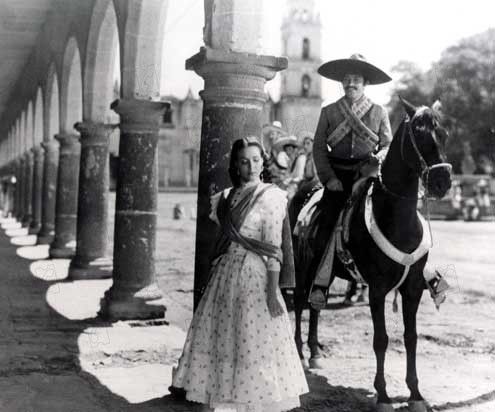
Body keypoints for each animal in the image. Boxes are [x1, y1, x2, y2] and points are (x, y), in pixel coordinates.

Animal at [294, 100, 454, 412]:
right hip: (303, 267)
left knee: (315, 306)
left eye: (443, 134)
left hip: (322, 273)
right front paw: (382, 395)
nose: (443, 181)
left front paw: (415, 393)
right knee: (297, 303)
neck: (396, 217)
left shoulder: (412, 288)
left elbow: (411, 337)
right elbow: (381, 339)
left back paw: (315, 352)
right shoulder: (377, 289)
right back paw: (299, 352)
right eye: (419, 135)